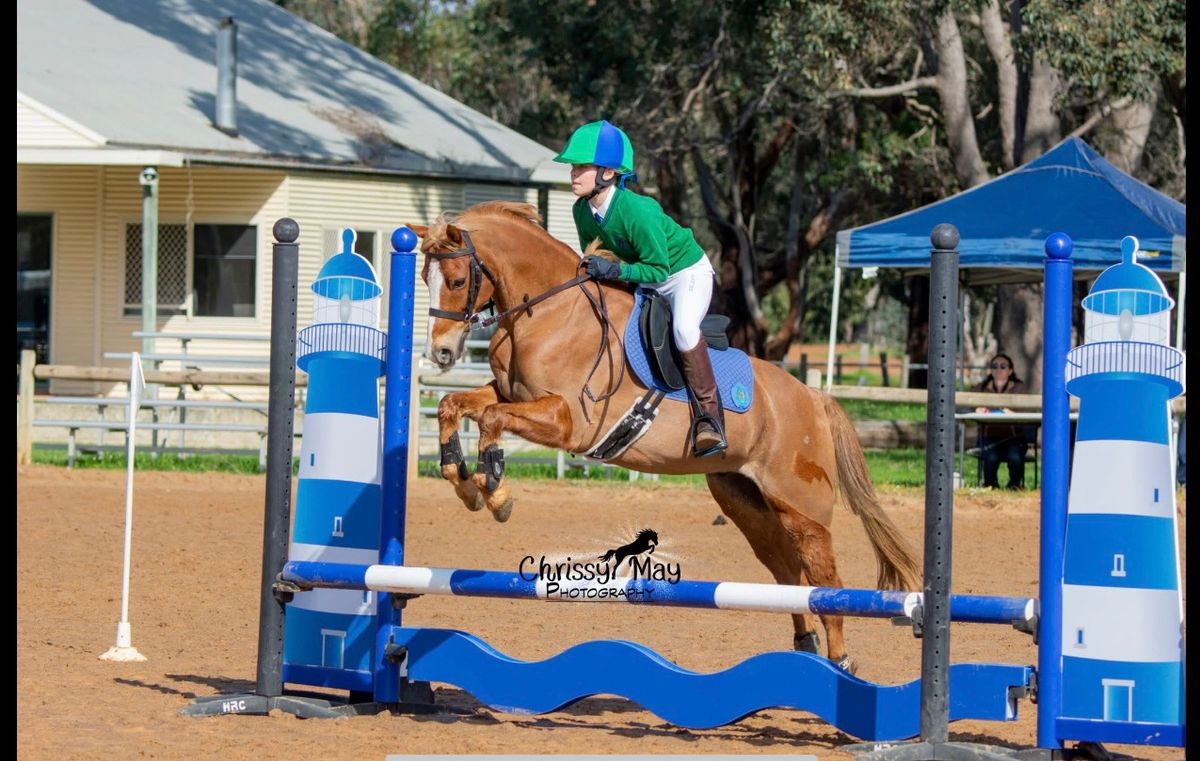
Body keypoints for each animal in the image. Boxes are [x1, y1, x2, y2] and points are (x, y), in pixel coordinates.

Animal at [408, 198, 921, 667]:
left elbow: (492, 420)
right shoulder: (508, 393)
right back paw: (806, 646)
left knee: (824, 580)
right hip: (745, 502)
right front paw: (462, 479)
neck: (549, 310)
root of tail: (813, 397)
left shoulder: (566, 421)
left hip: (803, 508)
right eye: (425, 278)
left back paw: (840, 661)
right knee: (787, 573)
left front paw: (494, 490)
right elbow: (456, 406)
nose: (441, 354)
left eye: (457, 281)